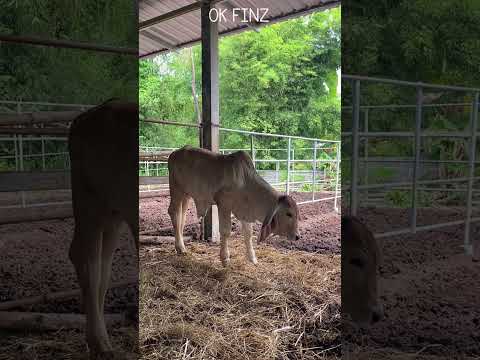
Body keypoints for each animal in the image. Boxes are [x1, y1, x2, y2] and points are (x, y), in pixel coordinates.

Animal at [167, 145, 298, 266]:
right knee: (174, 212)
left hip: (186, 194)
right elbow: (225, 231)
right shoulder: (224, 204)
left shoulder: (245, 210)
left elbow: (248, 234)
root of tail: (174, 153)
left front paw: (252, 258)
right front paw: (225, 259)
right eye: (289, 214)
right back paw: (180, 248)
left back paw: (181, 246)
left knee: (182, 217)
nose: (297, 236)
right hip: (176, 189)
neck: (246, 182)